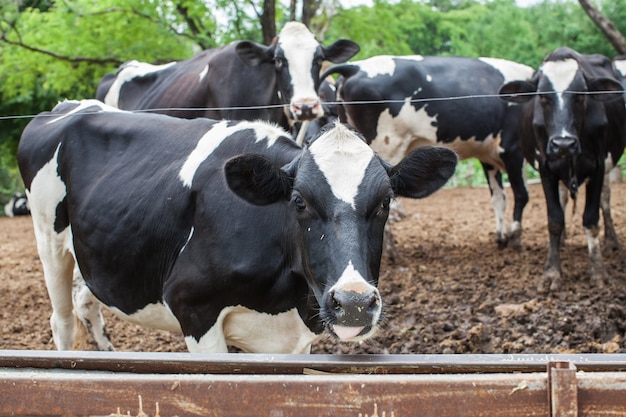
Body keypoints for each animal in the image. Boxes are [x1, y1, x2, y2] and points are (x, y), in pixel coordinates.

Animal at [18, 99, 454, 352]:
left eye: (385, 202)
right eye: (299, 201)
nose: (353, 304)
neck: (285, 296)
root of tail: (70, 105)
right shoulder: (193, 307)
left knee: (87, 301)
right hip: (47, 238)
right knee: (61, 320)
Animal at [322, 55, 532, 250]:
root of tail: (354, 67)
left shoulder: (488, 155)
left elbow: (499, 197)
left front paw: (502, 237)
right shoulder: (512, 149)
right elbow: (521, 193)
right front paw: (515, 238)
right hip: (387, 144)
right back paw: (391, 249)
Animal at [498, 46, 624, 292]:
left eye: (581, 94)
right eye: (542, 95)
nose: (563, 144)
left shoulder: (598, 166)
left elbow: (591, 219)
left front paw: (598, 272)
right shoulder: (546, 167)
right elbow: (555, 219)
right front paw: (551, 273)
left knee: (605, 200)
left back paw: (611, 241)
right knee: (565, 197)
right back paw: (564, 240)